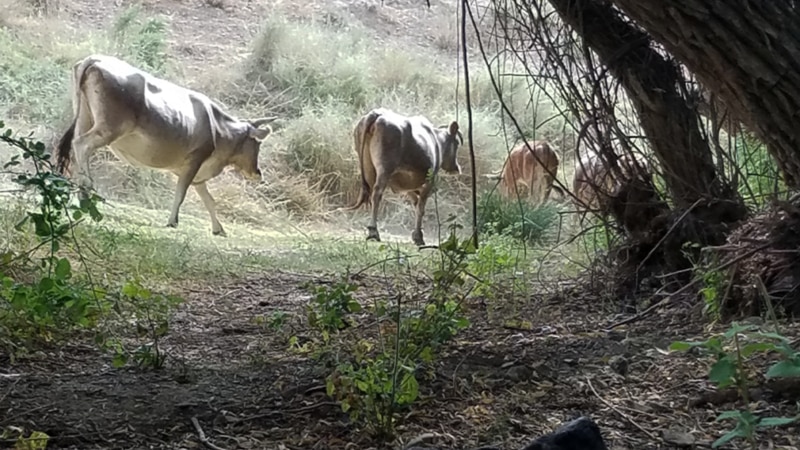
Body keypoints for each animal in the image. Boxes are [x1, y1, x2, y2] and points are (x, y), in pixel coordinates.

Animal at [54, 54, 276, 237]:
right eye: (257, 143)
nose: (258, 173)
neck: (219, 129)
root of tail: (95, 59)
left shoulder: (198, 175)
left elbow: (209, 200)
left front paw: (218, 229)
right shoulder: (194, 161)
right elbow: (181, 193)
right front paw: (173, 222)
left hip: (84, 117)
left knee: (76, 147)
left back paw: (79, 193)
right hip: (109, 128)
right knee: (82, 145)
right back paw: (86, 190)